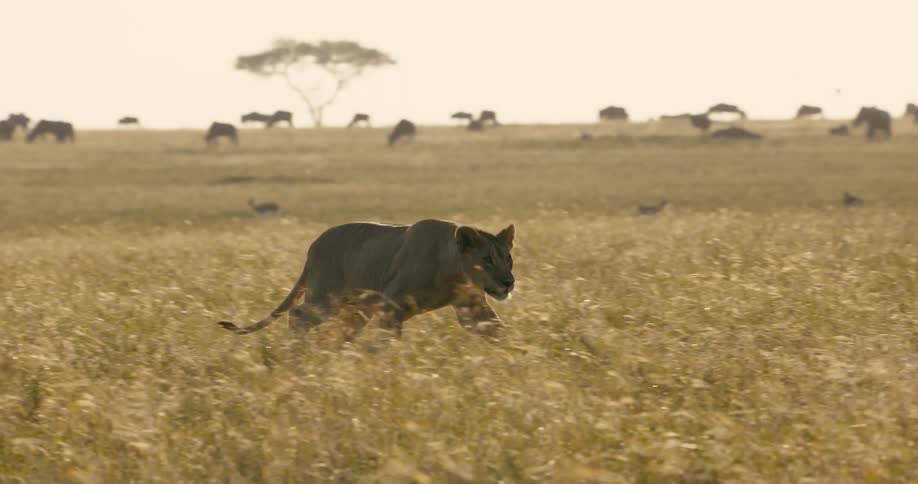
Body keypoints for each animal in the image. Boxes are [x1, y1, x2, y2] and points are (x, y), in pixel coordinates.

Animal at [219, 219, 516, 340]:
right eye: (488, 259)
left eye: (508, 259)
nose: (508, 283)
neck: (453, 270)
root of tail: (313, 245)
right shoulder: (391, 305)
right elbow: (387, 341)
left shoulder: (471, 307)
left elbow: (496, 328)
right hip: (326, 297)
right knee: (298, 314)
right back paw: (296, 353)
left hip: (355, 310)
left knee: (335, 333)